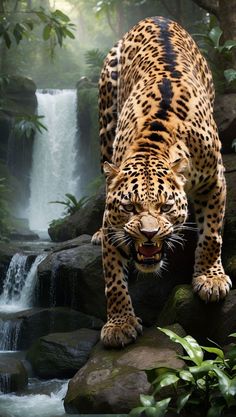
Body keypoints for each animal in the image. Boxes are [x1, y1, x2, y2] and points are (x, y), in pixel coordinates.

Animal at [91, 16, 231, 348]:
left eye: (166, 207)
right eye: (129, 207)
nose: (149, 234)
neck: (153, 144)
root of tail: (156, 18)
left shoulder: (215, 180)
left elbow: (212, 234)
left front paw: (210, 279)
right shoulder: (113, 218)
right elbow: (113, 279)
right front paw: (119, 324)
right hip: (106, 112)